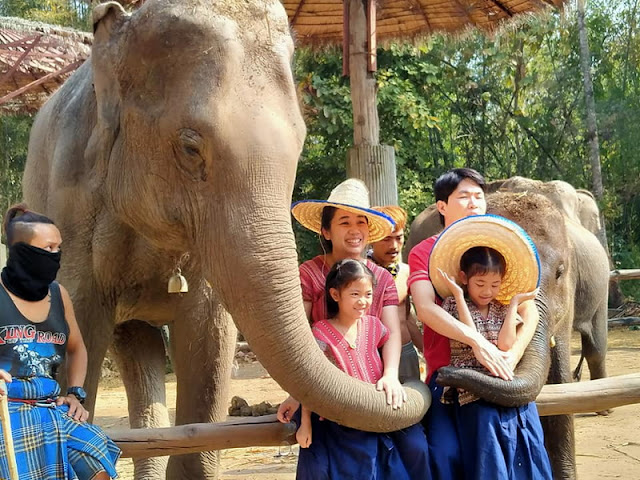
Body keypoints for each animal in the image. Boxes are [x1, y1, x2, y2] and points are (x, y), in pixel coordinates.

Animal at [22, 1, 430, 478]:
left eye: (300, 144)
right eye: (190, 147)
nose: (409, 368)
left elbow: (211, 341)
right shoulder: (72, 203)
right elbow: (78, 325)